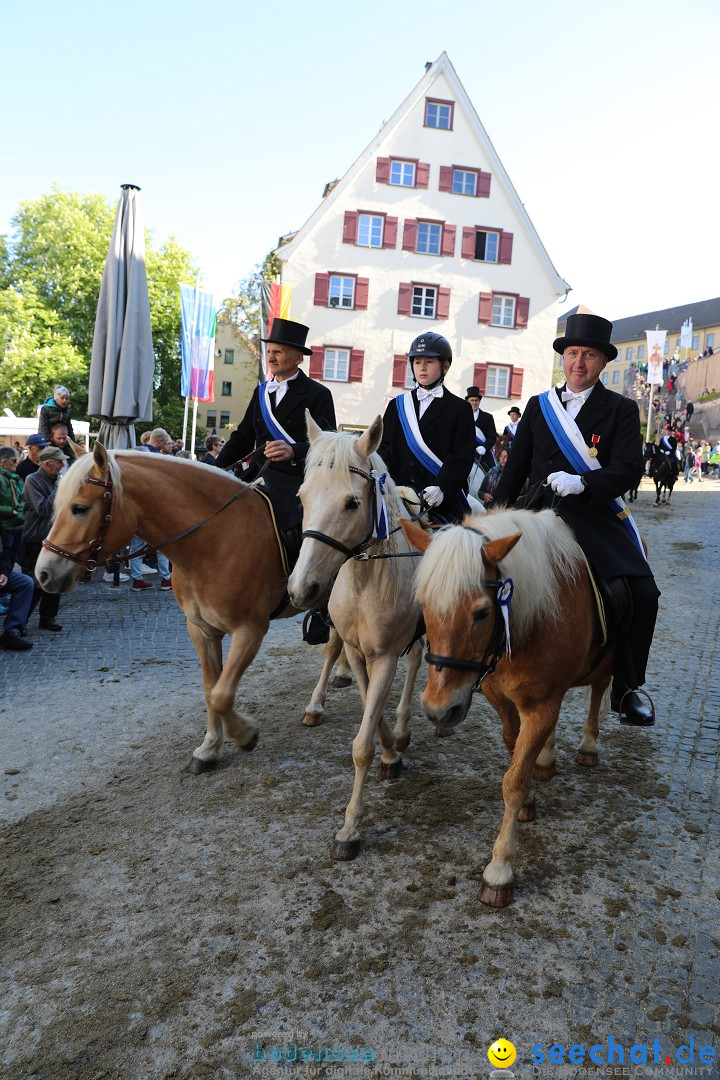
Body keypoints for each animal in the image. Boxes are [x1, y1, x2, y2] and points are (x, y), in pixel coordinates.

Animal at [35, 442, 343, 773]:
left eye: (79, 508)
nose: (44, 573)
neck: (215, 540)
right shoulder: (201, 630)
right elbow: (211, 689)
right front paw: (210, 748)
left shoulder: (249, 630)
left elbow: (221, 695)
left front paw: (245, 734)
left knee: (334, 646)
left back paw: (316, 704)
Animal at [284, 412, 423, 859]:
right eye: (302, 496)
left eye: (352, 503)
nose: (301, 589)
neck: (365, 581)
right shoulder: (361, 654)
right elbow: (369, 715)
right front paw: (390, 751)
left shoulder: (386, 656)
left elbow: (361, 745)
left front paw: (350, 829)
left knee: (418, 661)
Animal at [399, 509, 613, 907]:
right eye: (423, 604)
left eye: (482, 613)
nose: (439, 710)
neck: (533, 620)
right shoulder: (501, 697)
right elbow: (516, 751)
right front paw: (531, 791)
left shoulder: (541, 706)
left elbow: (512, 781)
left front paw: (499, 871)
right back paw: (546, 757)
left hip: (605, 664)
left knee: (598, 690)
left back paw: (588, 745)